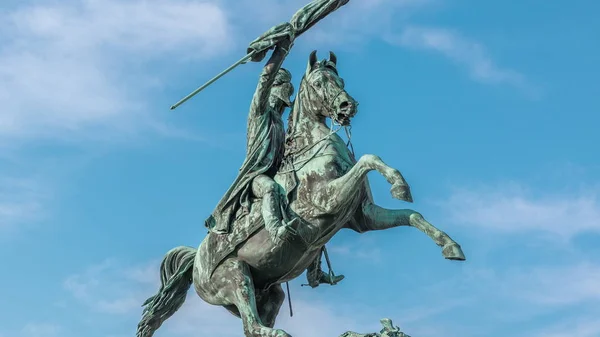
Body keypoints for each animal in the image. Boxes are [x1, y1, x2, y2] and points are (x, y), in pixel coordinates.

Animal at [138, 51, 466, 336]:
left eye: (341, 80)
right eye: (319, 82)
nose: (347, 107)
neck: (313, 147)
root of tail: (196, 261)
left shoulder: (363, 218)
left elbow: (411, 215)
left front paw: (449, 245)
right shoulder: (327, 200)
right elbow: (367, 159)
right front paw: (399, 183)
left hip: (270, 295)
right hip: (235, 275)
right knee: (252, 325)